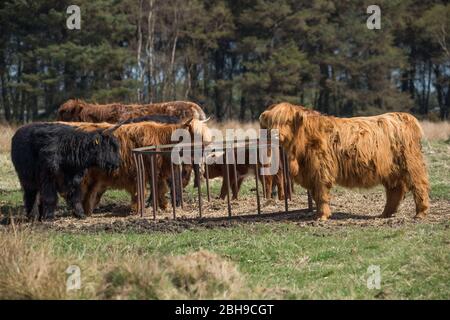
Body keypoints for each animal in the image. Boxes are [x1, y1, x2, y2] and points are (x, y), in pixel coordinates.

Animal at [59, 118, 211, 215]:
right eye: (196, 135)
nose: (206, 148)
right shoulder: (141, 172)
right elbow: (144, 190)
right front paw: (139, 208)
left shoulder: (157, 172)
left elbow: (159, 189)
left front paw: (163, 206)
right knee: (74, 191)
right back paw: (79, 211)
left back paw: (87, 210)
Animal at [258, 102, 430, 220]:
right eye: (271, 123)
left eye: (287, 121)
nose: (274, 134)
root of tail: (403, 116)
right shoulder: (310, 174)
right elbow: (316, 195)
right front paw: (319, 214)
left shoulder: (321, 170)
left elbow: (321, 194)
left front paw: (322, 217)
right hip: (390, 170)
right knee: (395, 190)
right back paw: (385, 214)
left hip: (411, 164)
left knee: (419, 185)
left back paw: (420, 213)